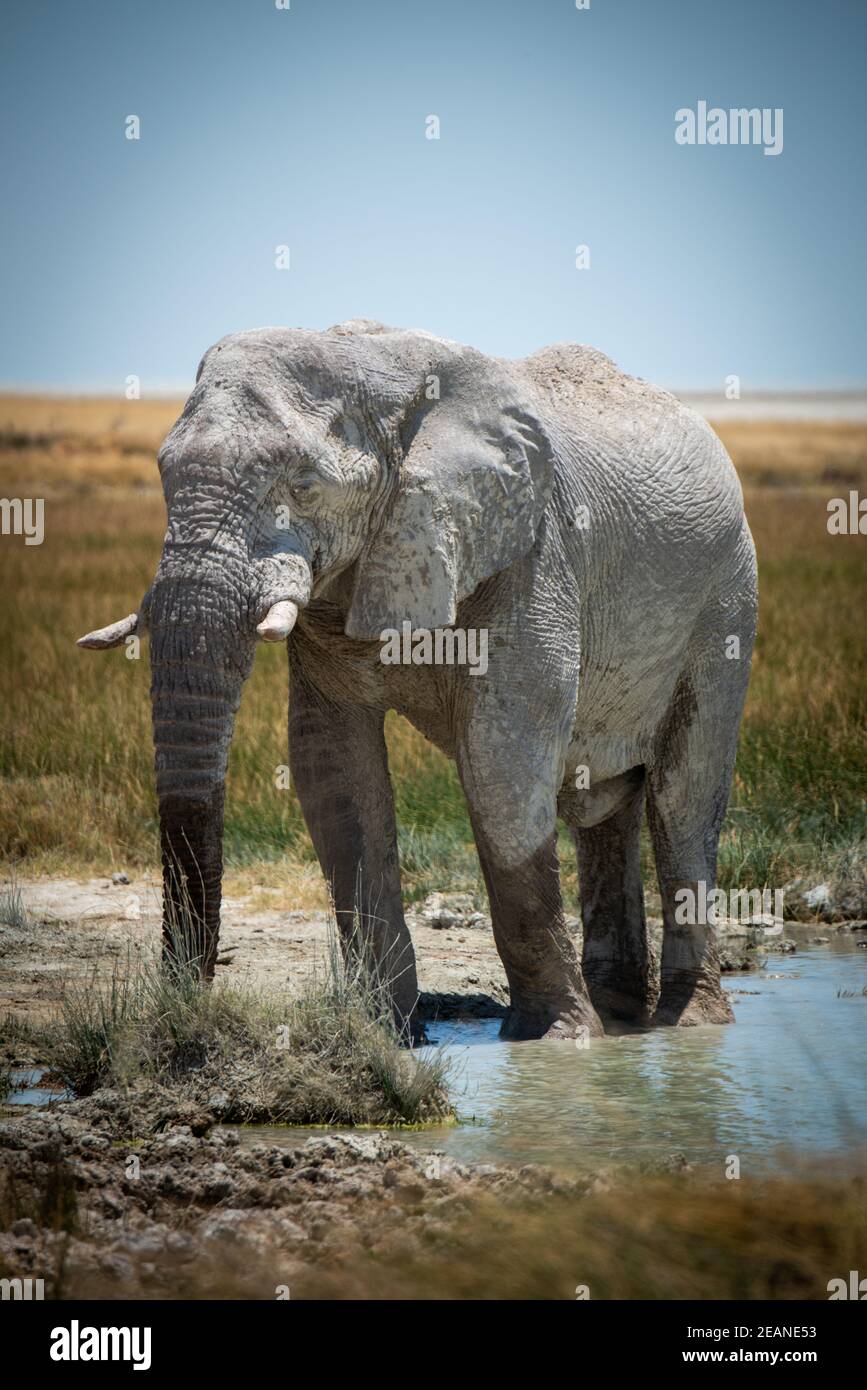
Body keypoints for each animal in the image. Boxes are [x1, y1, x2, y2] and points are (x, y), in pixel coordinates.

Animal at [78, 319, 757, 1042]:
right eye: (162, 474)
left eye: (304, 484)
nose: (186, 1008)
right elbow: (333, 766)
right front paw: (387, 1032)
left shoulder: (531, 552)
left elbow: (502, 758)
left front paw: (554, 1041)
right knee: (602, 803)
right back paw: (618, 1011)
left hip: (727, 600)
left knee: (682, 796)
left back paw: (688, 1024)